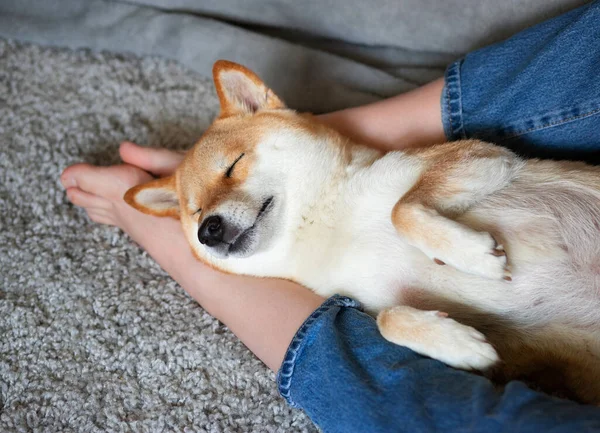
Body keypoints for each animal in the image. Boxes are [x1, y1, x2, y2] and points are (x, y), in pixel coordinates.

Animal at [125, 60, 600, 402]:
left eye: (233, 165)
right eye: (195, 212)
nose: (208, 230)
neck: (326, 224)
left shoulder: (481, 158)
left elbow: (401, 210)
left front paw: (472, 255)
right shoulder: (389, 304)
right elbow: (391, 320)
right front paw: (458, 343)